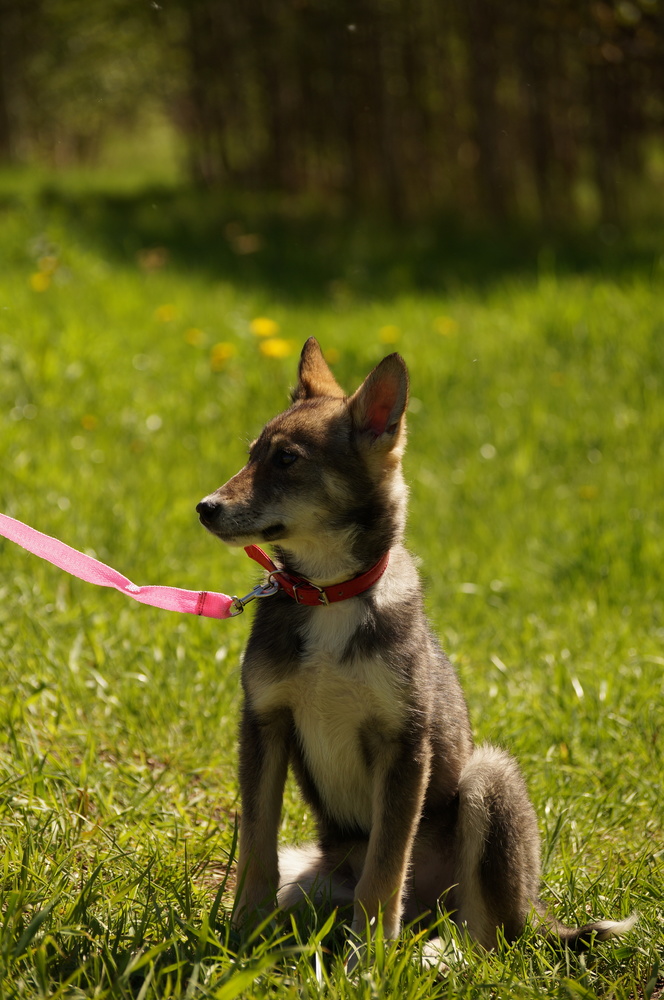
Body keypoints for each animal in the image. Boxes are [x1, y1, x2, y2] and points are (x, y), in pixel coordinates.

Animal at [196, 337, 634, 957]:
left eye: (287, 460)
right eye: (252, 454)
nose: (205, 507)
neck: (329, 592)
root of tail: (535, 909)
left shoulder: (403, 744)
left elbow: (385, 867)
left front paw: (369, 958)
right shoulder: (264, 724)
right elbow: (258, 846)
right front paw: (244, 935)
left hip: (489, 779)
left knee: (487, 937)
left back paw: (432, 957)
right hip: (314, 868)